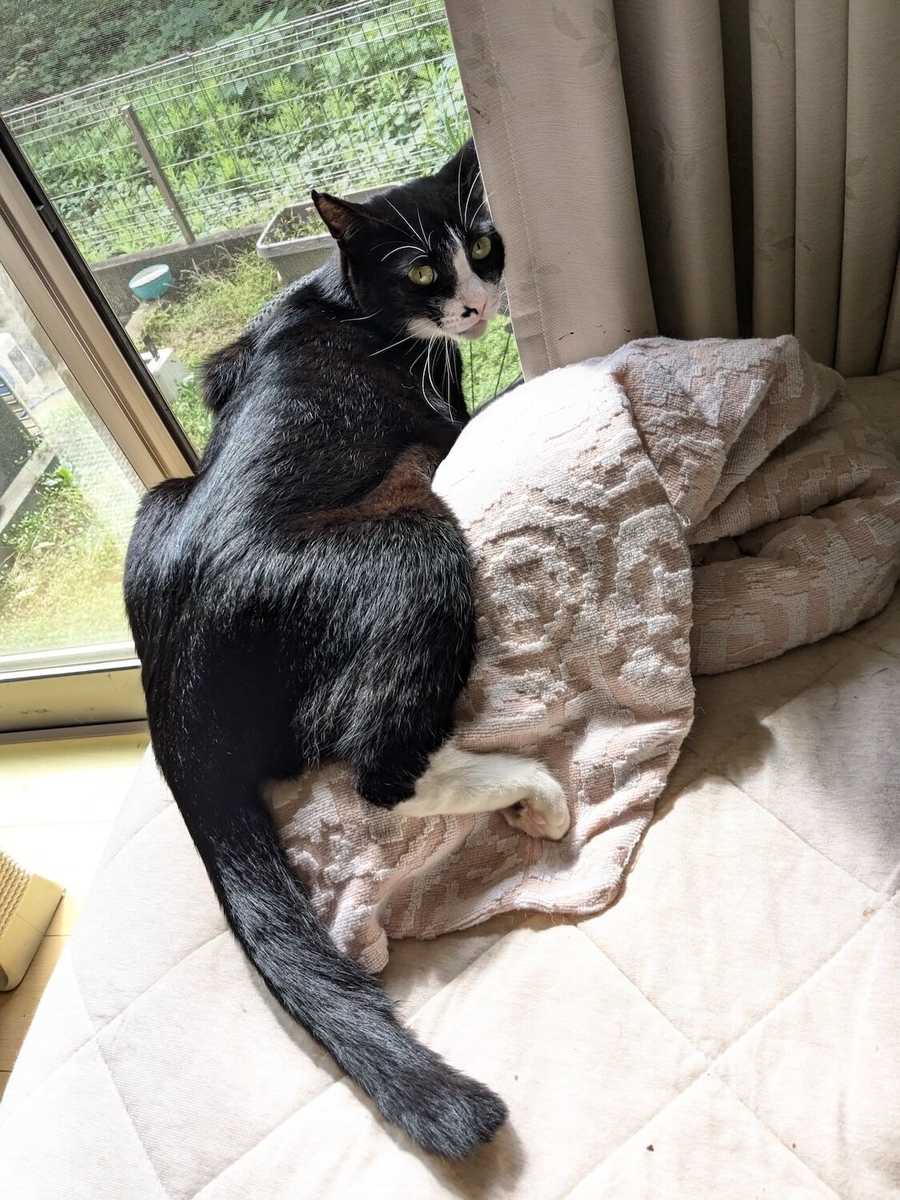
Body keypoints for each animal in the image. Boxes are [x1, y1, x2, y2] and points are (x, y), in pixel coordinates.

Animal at [123, 140, 569, 1159]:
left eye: (482, 244)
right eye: (421, 271)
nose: (476, 306)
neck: (335, 297)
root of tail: (174, 694)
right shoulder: (442, 417)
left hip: (158, 499)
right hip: (411, 537)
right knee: (373, 764)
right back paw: (532, 792)